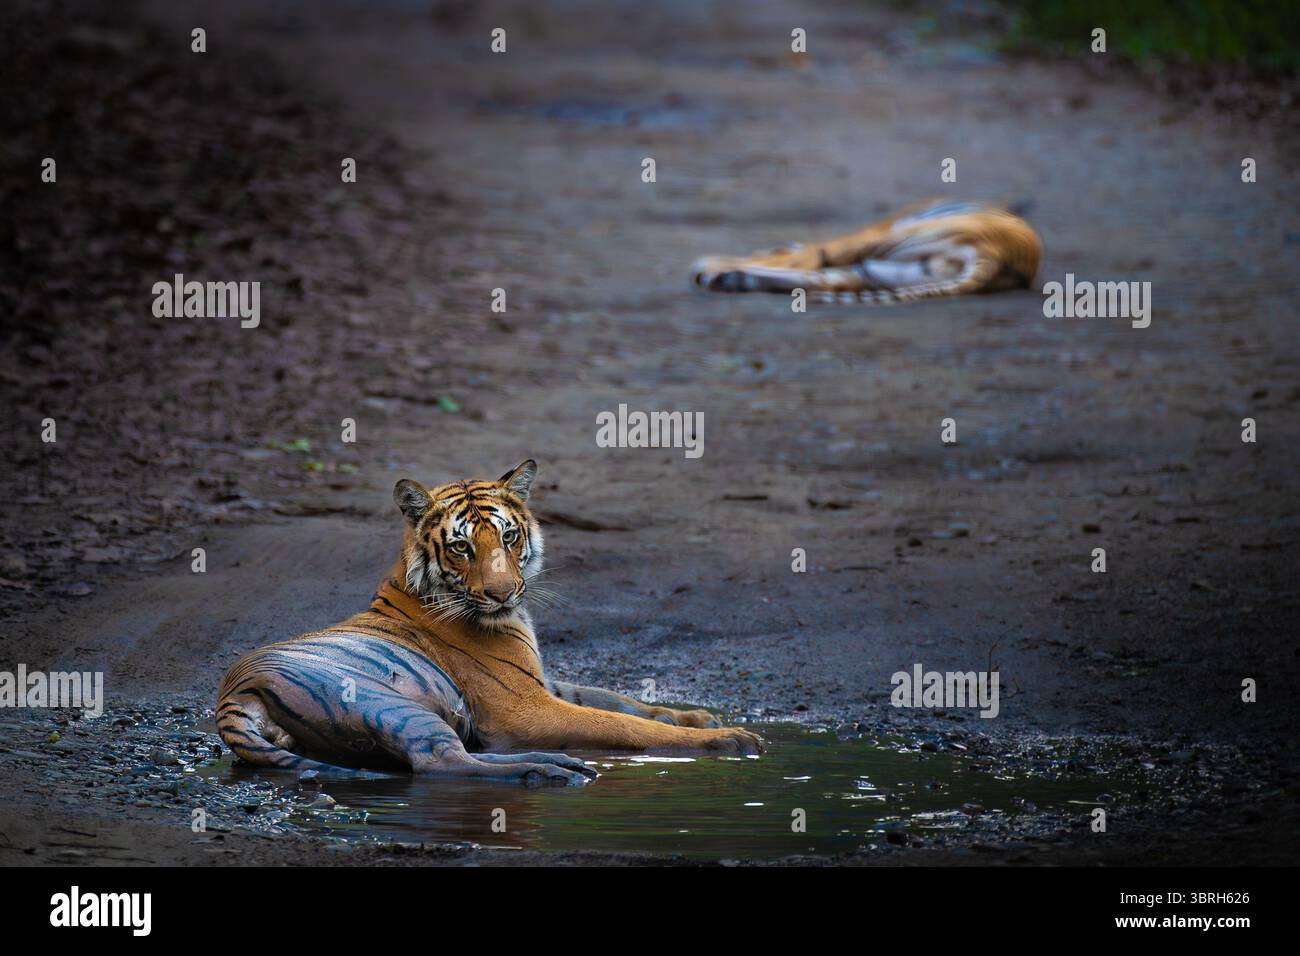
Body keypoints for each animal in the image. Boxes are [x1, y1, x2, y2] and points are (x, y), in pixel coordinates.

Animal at [217, 460, 764, 786]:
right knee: (440, 762)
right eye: (461, 547)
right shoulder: (525, 706)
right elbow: (621, 722)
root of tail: (232, 697)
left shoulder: (540, 682)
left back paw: (561, 764)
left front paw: (699, 717)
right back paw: (551, 771)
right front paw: (728, 738)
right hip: (389, 703)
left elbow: (620, 699)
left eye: (508, 537)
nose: (502, 593)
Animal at [690, 198, 1042, 305]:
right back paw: (728, 278)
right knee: (820, 276)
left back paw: (712, 270)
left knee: (815, 257)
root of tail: (1000, 257)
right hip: (889, 270)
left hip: (885, 240)